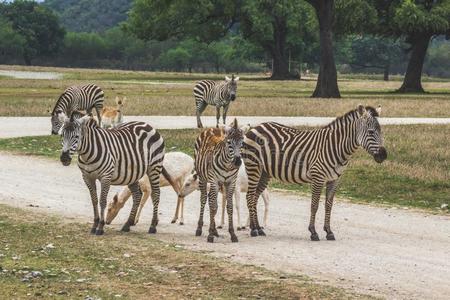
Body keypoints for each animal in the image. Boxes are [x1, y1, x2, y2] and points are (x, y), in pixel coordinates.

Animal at [243, 105, 386, 241]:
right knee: (250, 196)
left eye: (380, 131)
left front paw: (329, 232)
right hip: (253, 167)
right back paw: (253, 230)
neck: (336, 147)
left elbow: (328, 205)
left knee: (255, 196)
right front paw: (313, 232)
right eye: (371, 132)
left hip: (264, 172)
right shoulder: (318, 177)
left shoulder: (334, 179)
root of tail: (257, 127)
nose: (384, 155)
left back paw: (258, 228)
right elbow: (314, 205)